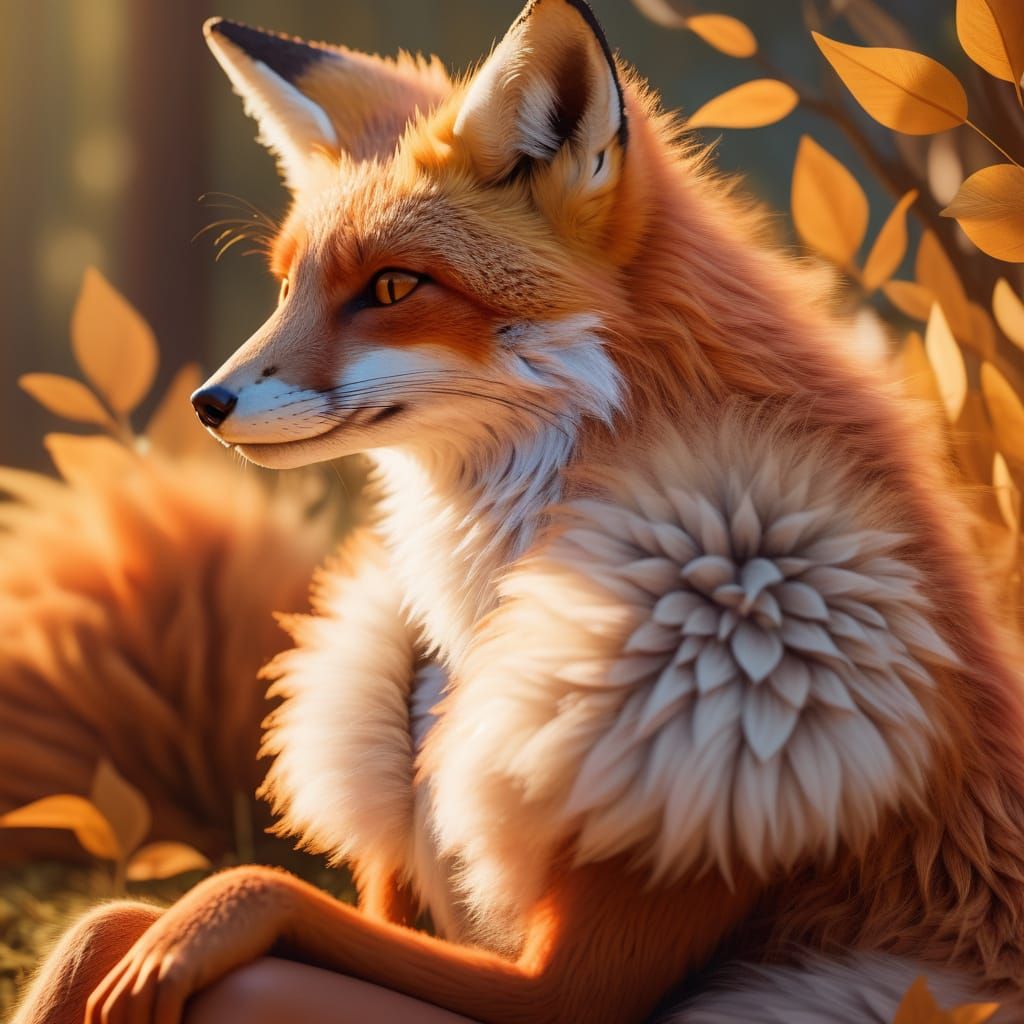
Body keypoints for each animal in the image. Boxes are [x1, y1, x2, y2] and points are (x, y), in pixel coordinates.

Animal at [15, 1, 1024, 1022]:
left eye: (391, 287)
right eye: (288, 285)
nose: (206, 404)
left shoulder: (718, 748)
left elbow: (242, 899)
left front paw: (197, 923)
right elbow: (108, 927)